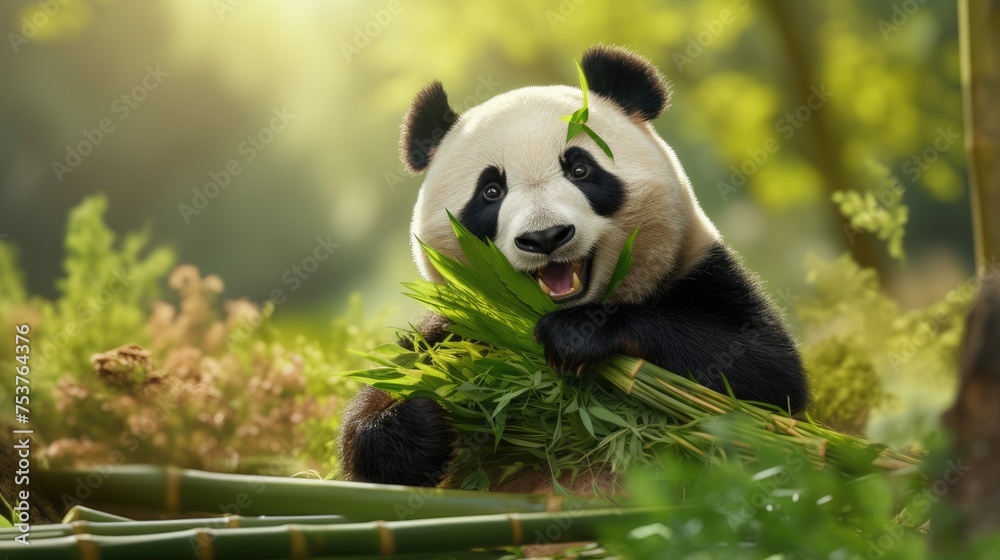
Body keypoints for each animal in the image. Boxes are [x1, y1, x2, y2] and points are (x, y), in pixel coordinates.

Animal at [338, 45, 808, 492]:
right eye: (490, 191)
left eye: (580, 169)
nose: (545, 237)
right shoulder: (463, 326)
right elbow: (376, 417)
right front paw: (421, 420)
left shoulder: (698, 270)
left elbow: (766, 375)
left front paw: (578, 334)